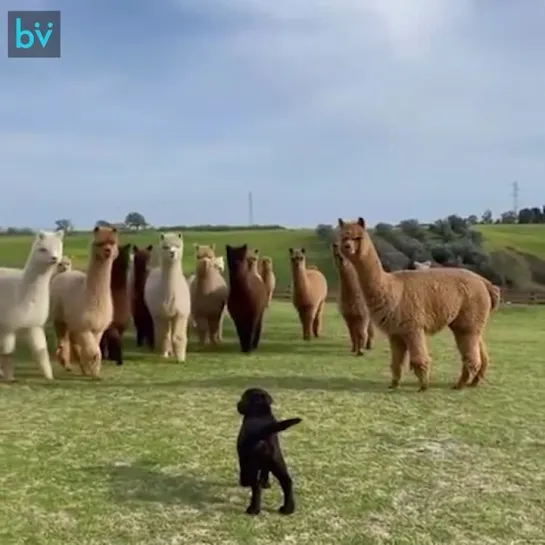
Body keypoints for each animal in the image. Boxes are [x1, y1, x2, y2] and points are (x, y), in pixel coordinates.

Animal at [235, 386, 302, 516]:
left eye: (243, 398)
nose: (238, 404)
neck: (261, 413)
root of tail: (265, 430)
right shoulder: (266, 464)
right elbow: (265, 472)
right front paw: (265, 484)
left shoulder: (243, 457)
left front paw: (244, 482)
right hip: (278, 461)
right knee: (287, 482)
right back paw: (287, 509)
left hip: (252, 464)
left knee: (256, 486)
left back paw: (253, 509)